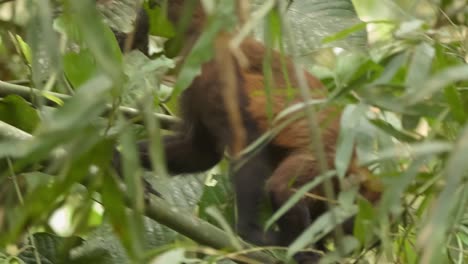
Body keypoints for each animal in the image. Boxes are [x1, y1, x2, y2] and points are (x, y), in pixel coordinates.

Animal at [111, 1, 382, 262]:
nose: (367, 243)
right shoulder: (325, 159)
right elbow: (281, 189)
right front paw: (302, 252)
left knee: (201, 153)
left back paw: (119, 161)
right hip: (220, 79)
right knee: (247, 147)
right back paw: (249, 232)